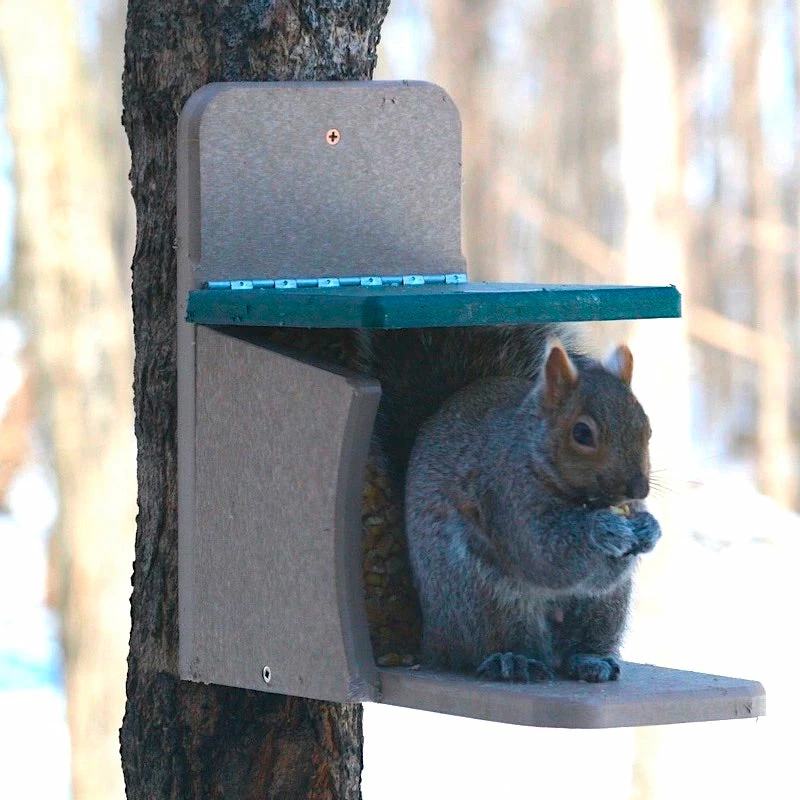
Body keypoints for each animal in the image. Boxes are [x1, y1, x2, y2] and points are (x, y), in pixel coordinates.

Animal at [354, 325, 661, 683]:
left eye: (647, 428)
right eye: (582, 433)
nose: (638, 488)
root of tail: (434, 637)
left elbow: (601, 573)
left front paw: (649, 528)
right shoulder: (504, 495)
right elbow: (545, 553)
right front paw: (604, 530)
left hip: (602, 608)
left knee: (582, 638)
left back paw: (590, 659)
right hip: (485, 602)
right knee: (490, 645)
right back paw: (514, 660)